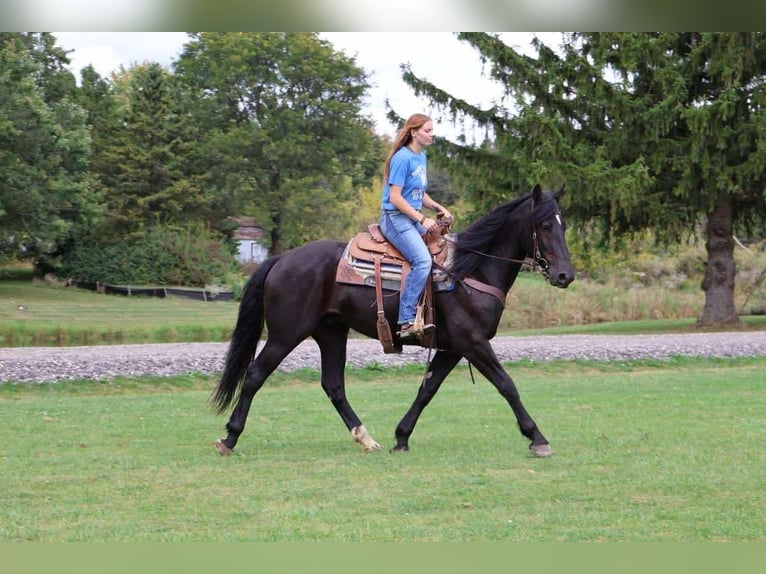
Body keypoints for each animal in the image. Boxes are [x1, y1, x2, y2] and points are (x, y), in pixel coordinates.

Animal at [211, 184, 575, 458]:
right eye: (544, 225)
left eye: (563, 225)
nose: (565, 275)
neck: (469, 271)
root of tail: (281, 259)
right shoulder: (473, 342)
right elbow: (507, 385)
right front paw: (537, 438)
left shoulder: (452, 348)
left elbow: (427, 389)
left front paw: (401, 437)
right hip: (285, 334)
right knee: (255, 375)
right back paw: (229, 437)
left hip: (331, 332)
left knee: (333, 386)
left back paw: (365, 438)